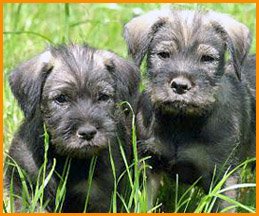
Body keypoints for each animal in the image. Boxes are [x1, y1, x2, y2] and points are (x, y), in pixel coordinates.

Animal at [4, 44, 140, 213]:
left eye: (103, 97)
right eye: (61, 98)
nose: (88, 133)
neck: (68, 159)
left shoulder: (98, 197)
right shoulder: (26, 190)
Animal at [124, 9, 256, 211]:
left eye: (207, 58)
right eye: (163, 54)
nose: (180, 86)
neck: (181, 121)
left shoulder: (224, 176)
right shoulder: (149, 165)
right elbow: (144, 203)